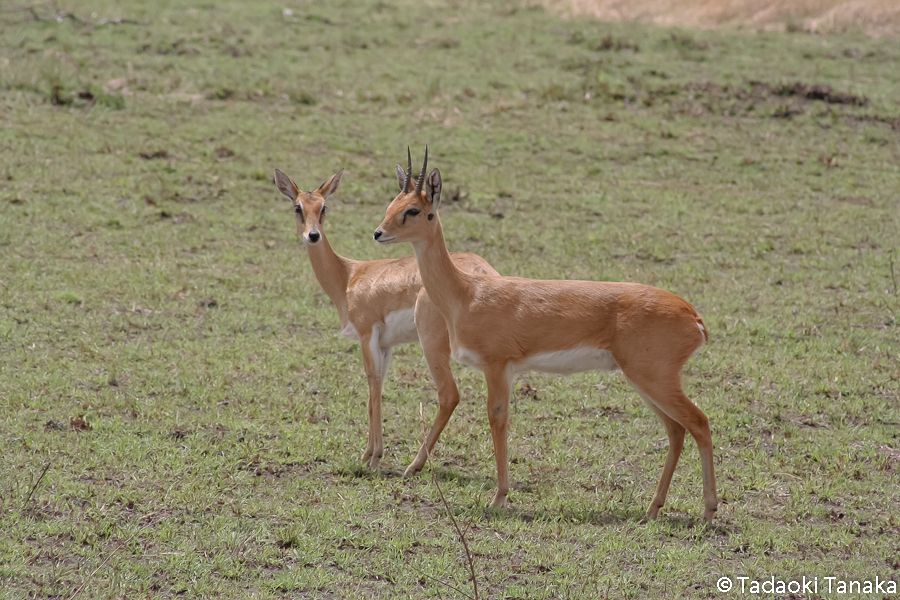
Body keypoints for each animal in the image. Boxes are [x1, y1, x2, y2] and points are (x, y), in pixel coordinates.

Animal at [274, 165, 500, 474]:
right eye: (298, 207)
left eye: (323, 207)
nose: (313, 235)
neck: (349, 276)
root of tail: (485, 273)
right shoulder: (386, 344)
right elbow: (378, 389)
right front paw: (369, 454)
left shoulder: (367, 335)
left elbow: (372, 386)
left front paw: (372, 457)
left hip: (432, 346)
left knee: (449, 394)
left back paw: (414, 466)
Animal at [376, 151, 720, 524]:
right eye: (393, 203)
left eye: (415, 210)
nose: (379, 233)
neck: (466, 293)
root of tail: (692, 315)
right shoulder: (506, 370)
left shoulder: (497, 367)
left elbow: (497, 419)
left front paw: (499, 498)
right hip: (645, 381)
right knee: (676, 430)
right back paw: (653, 508)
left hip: (654, 379)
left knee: (699, 422)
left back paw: (708, 511)